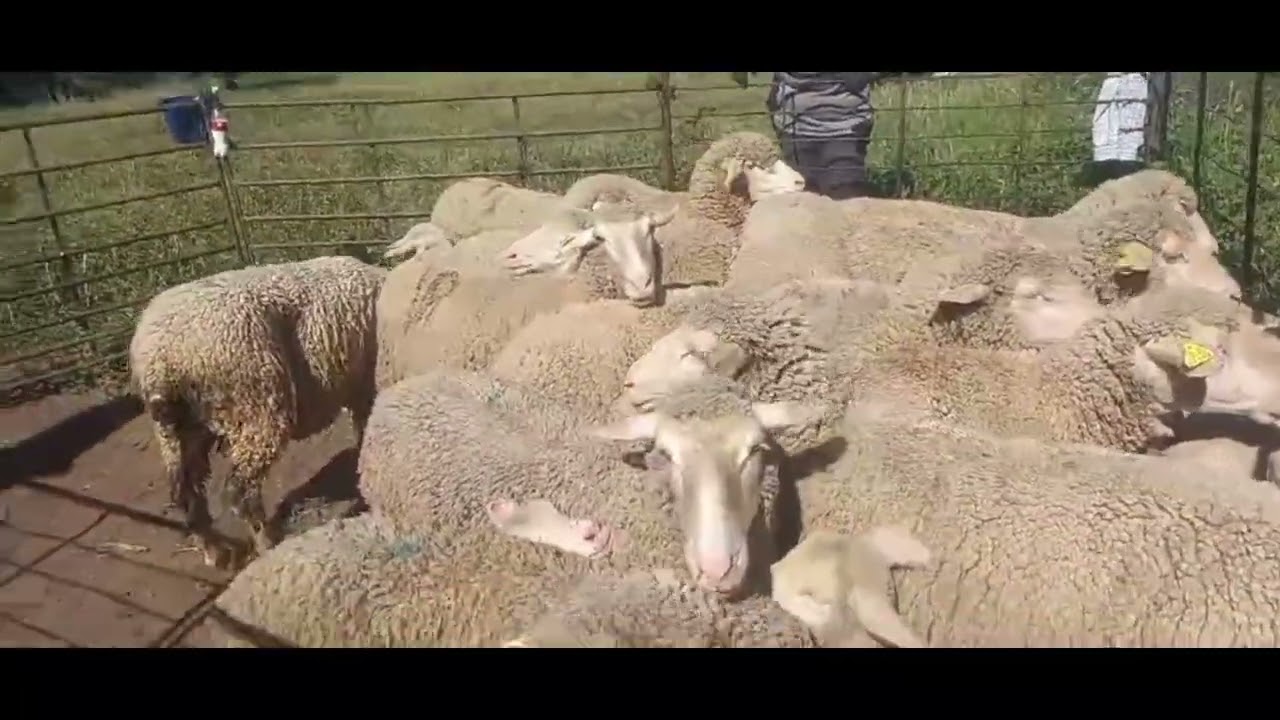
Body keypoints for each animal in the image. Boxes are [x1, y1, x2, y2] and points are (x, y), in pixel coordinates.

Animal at [128, 256, 385, 569]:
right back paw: (267, 543)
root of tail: (160, 359)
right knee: (238, 491)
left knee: (186, 493)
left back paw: (213, 552)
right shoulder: (367, 387)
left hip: (180, 431)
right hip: (257, 409)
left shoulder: (359, 391)